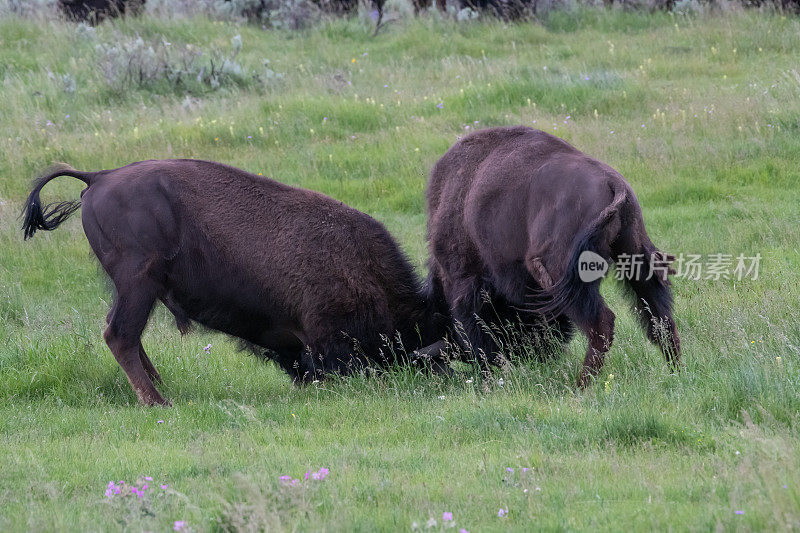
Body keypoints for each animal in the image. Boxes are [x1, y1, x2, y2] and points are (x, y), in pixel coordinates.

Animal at [21, 158, 446, 404]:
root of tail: (98, 177)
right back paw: (158, 401)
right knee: (120, 335)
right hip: (138, 282)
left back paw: (162, 388)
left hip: (135, 289)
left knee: (126, 335)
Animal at [424, 129, 680, 386]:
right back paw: (676, 371)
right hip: (635, 255)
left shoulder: (465, 279)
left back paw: (581, 386)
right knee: (660, 318)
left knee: (602, 323)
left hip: (564, 276)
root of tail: (613, 183)